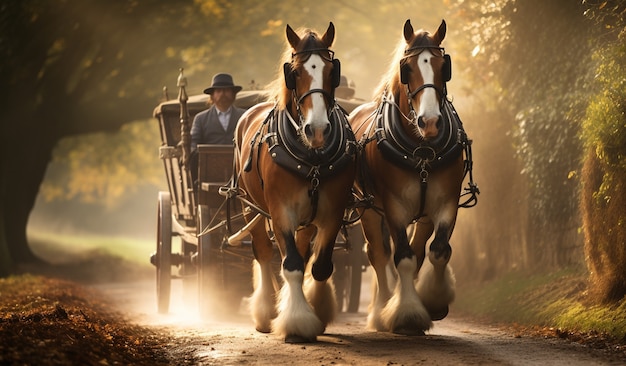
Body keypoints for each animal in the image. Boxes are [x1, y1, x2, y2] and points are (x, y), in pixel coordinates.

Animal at [232, 22, 356, 344]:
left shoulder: (332, 211)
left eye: (331, 70)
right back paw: (265, 312)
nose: (318, 130)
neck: (311, 158)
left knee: (301, 250)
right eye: (296, 72)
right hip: (250, 206)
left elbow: (320, 266)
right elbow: (291, 264)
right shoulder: (280, 211)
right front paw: (297, 322)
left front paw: (317, 310)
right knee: (264, 253)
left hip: (307, 218)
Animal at [346, 19, 478, 334]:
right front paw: (405, 313)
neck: (422, 152)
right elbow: (402, 258)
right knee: (378, 254)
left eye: (444, 66)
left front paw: (434, 302)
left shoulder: (445, 204)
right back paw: (381, 308)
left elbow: (437, 251)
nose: (429, 122)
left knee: (416, 250)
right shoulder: (393, 207)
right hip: (369, 209)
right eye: (408, 68)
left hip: (422, 216)